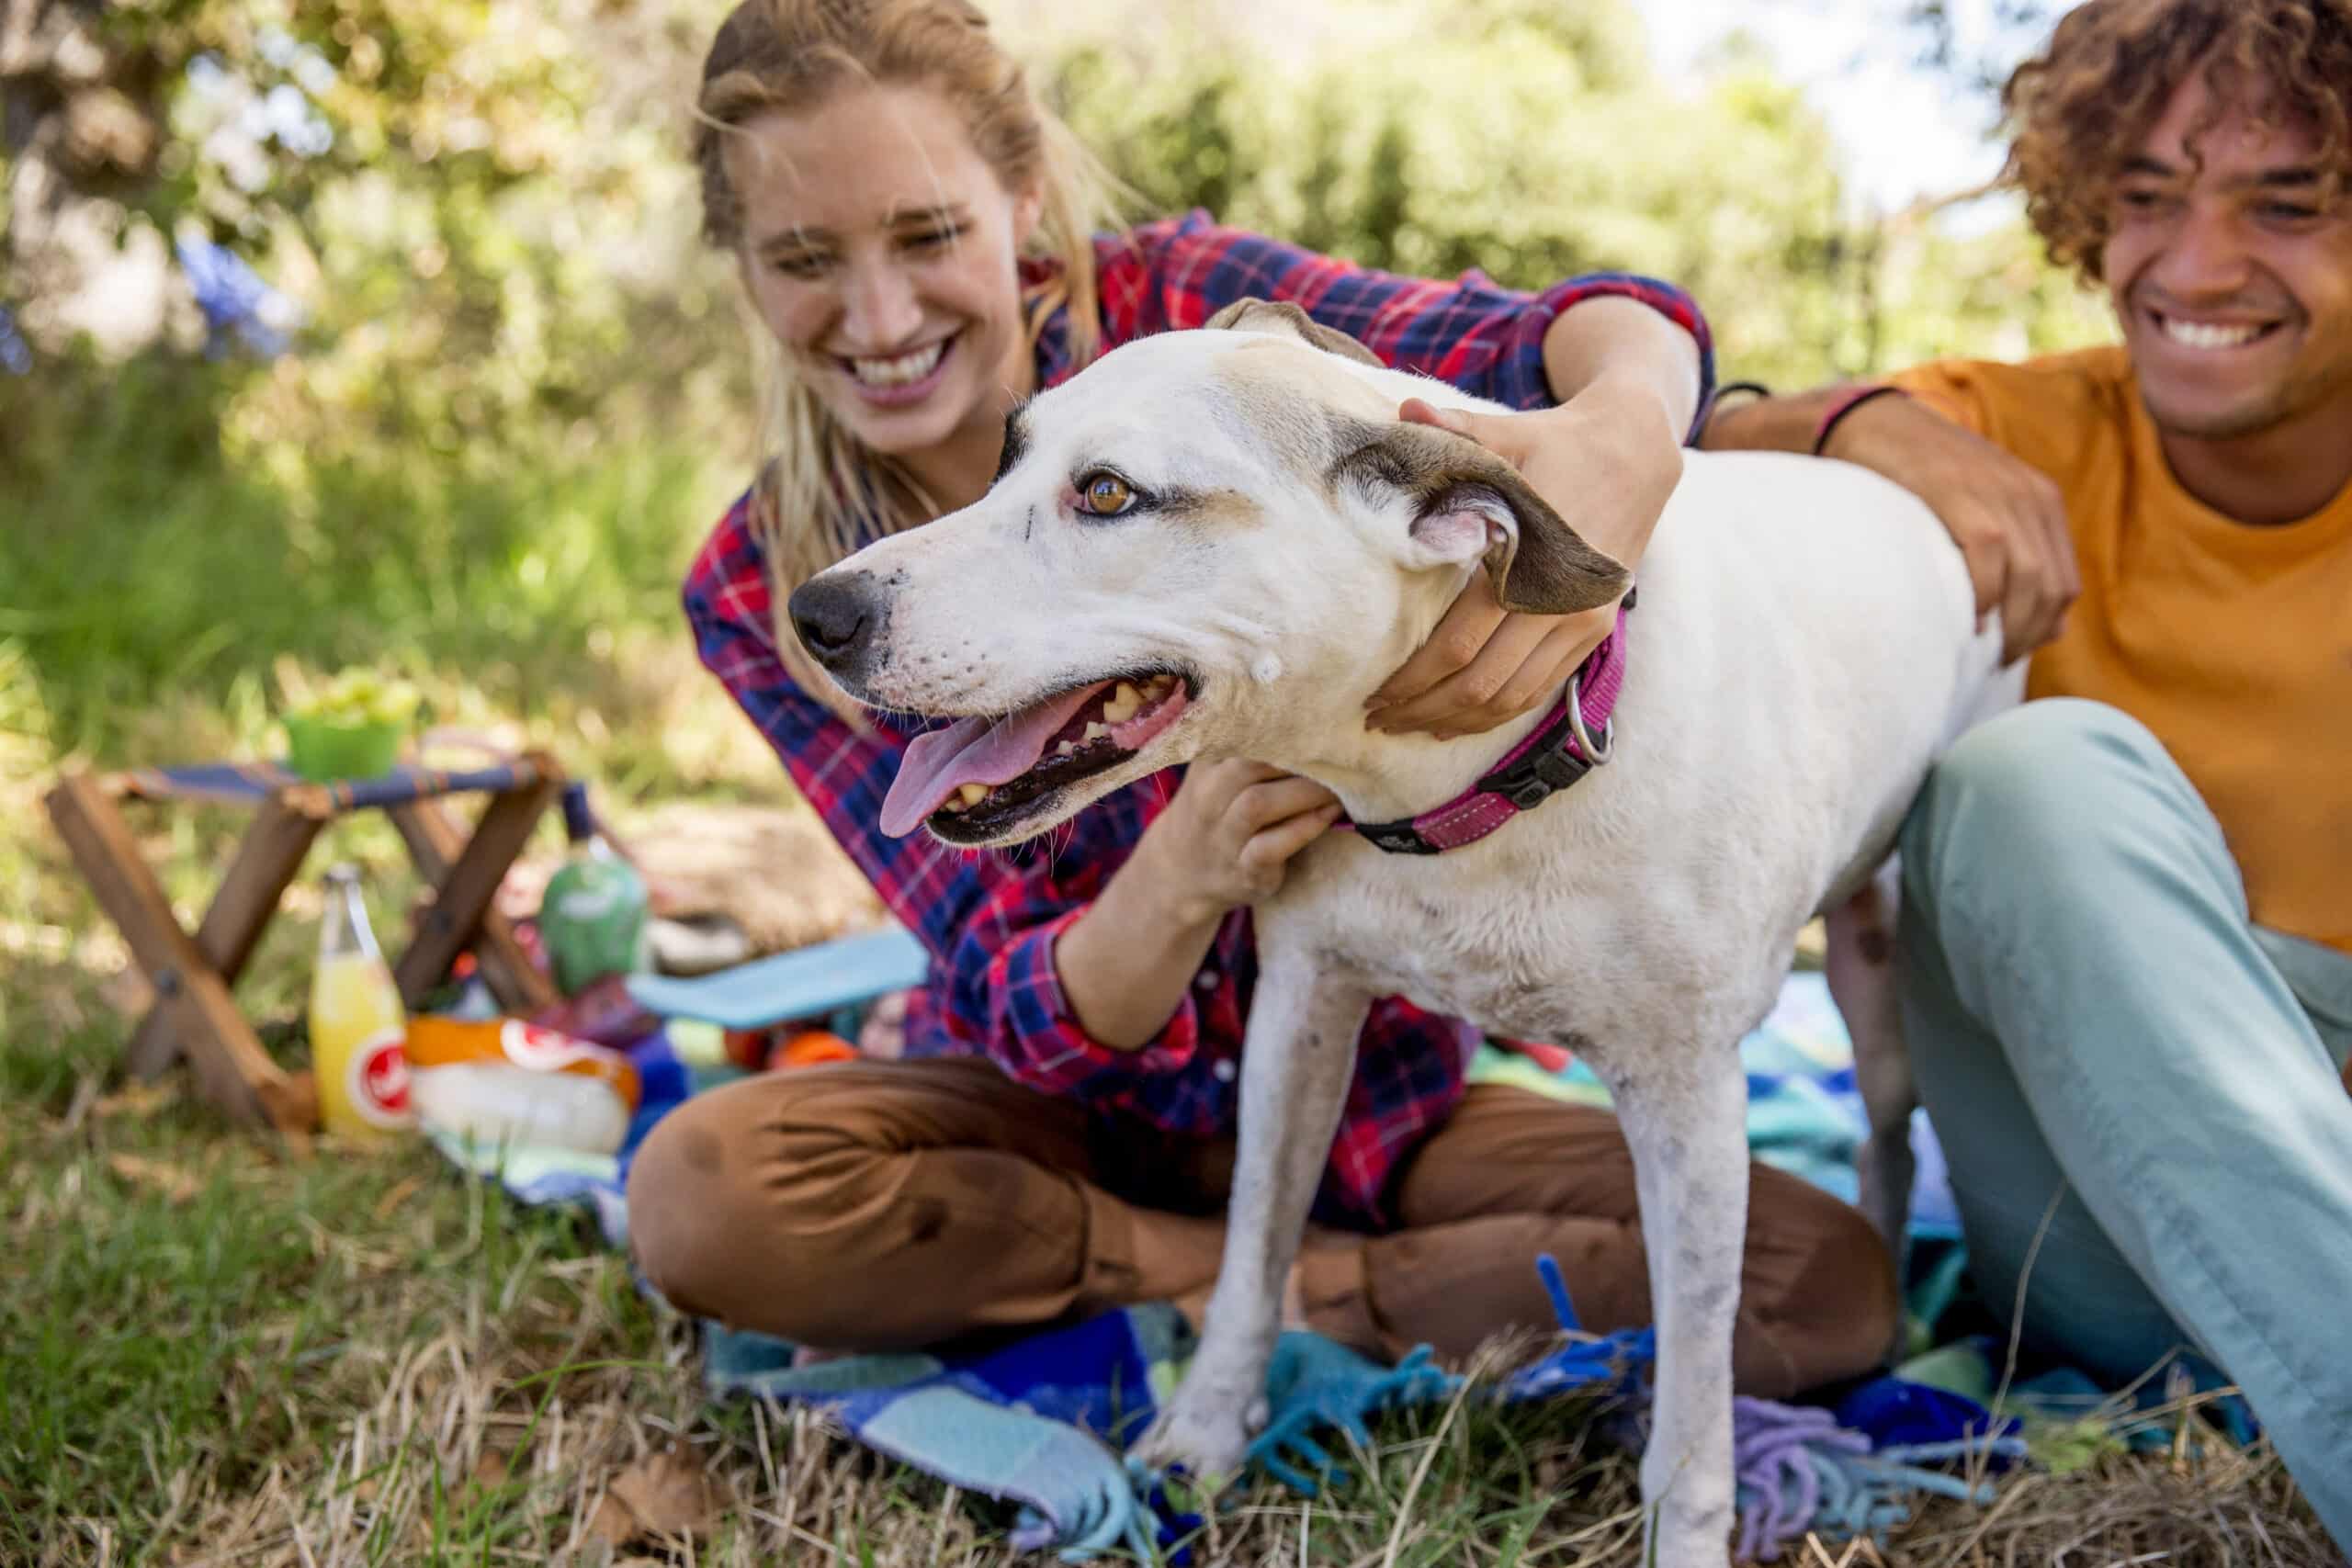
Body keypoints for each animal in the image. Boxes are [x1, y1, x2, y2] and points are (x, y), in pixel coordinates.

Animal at [780, 300, 2013, 1561]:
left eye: (1110, 493)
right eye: (1005, 455)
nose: (816, 612)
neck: (1465, 789)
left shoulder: (1690, 1107)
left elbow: (1694, 1402)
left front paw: (1691, 1536)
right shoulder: (1300, 1013)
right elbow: (1251, 1248)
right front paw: (1202, 1438)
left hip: (1877, 978)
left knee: (1885, 1135)